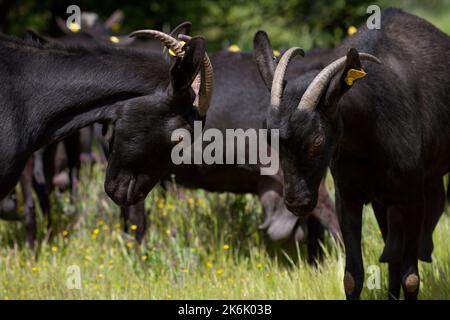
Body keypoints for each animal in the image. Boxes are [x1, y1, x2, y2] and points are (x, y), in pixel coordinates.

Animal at [255, 8, 448, 300]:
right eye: (270, 137)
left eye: (317, 140)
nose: (297, 202)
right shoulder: (348, 197)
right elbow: (352, 277)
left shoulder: (414, 197)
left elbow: (412, 277)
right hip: (383, 200)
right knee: (392, 251)